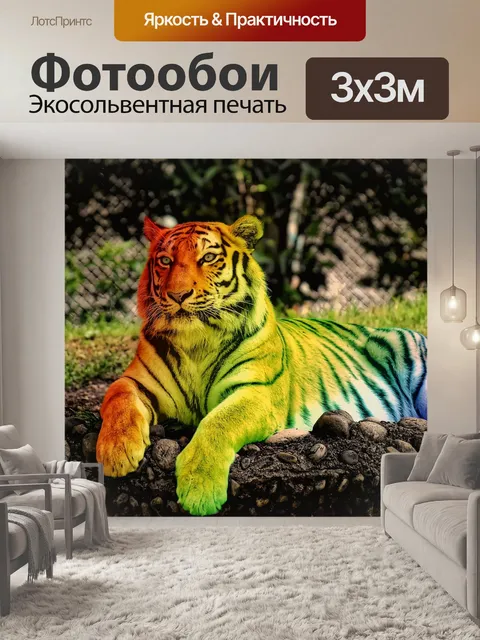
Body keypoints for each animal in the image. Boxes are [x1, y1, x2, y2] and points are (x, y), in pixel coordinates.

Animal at [96, 214, 427, 516]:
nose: (178, 295)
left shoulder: (257, 391)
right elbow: (117, 398)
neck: (196, 342)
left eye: (208, 258)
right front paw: (116, 453)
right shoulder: (136, 381)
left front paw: (199, 488)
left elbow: (218, 422)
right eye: (165, 260)